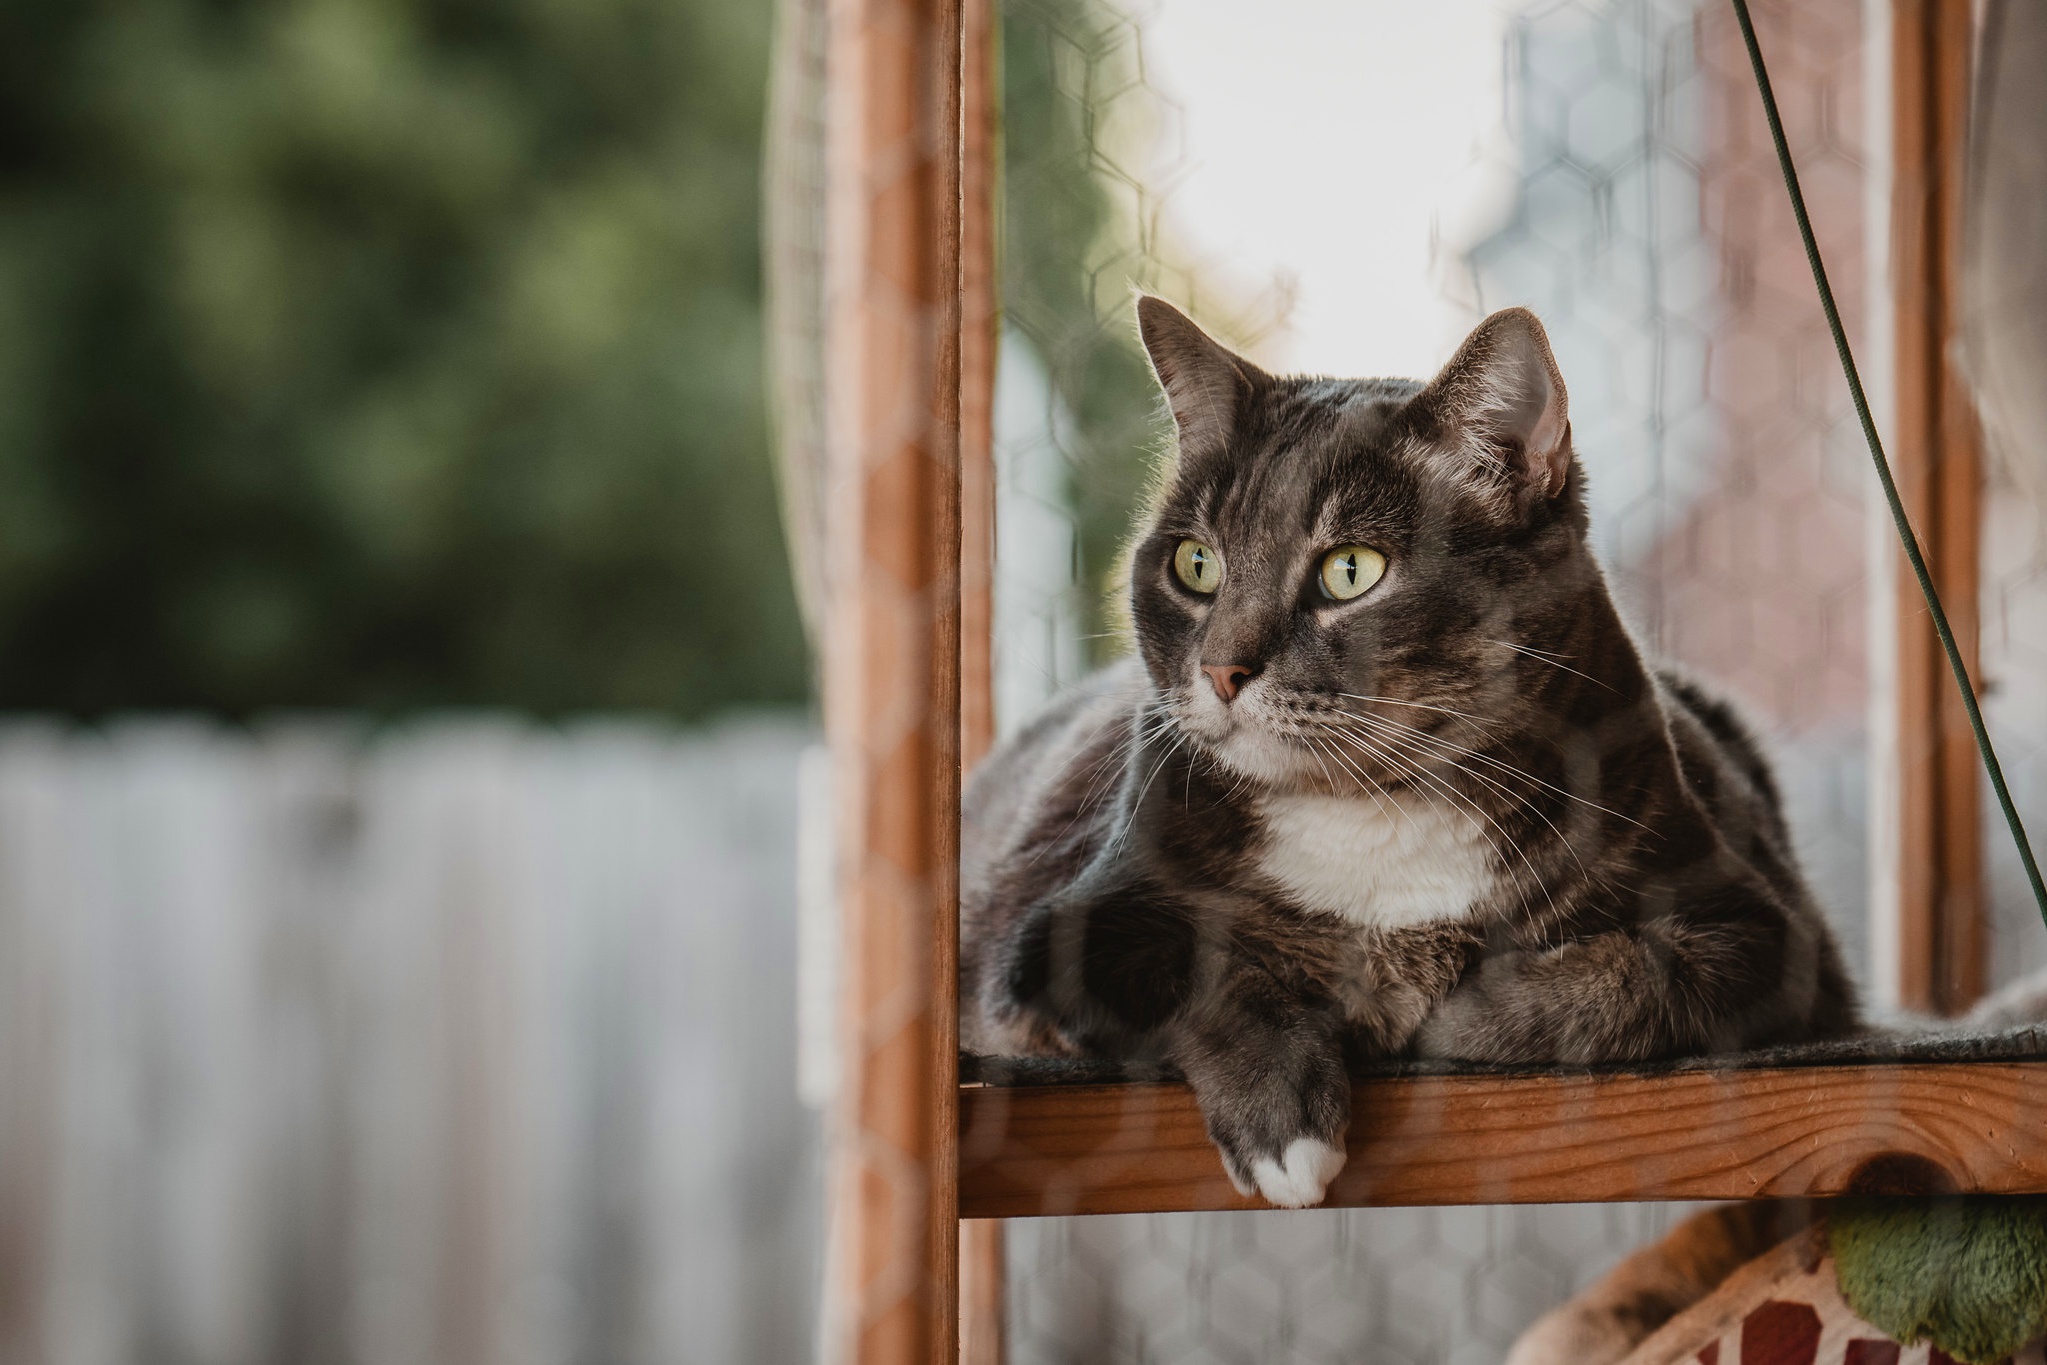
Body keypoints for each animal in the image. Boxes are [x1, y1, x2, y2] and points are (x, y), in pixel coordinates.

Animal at [953, 296, 1858, 1203]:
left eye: (1350, 569)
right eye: (1195, 563)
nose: (1219, 668)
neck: (1379, 810)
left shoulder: (1770, 935)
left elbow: (1640, 974)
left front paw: (1458, 1009)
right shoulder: (1060, 933)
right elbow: (1205, 964)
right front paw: (1287, 1127)